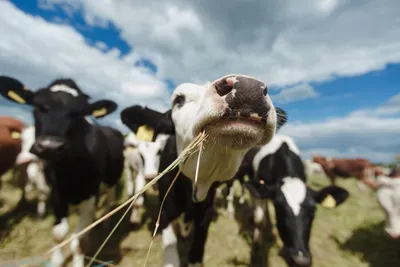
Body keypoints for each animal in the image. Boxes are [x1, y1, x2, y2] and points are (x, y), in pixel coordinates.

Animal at [0, 75, 125, 267]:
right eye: (37, 106)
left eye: (79, 113)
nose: (49, 146)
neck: (70, 171)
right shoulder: (57, 193)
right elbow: (59, 234)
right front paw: (56, 261)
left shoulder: (90, 195)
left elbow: (79, 240)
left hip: (113, 180)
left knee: (109, 202)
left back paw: (104, 223)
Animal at [121, 74, 288, 267]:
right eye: (179, 99)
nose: (249, 88)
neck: (197, 185)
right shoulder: (164, 211)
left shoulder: (206, 212)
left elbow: (197, 248)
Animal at [234, 136, 350, 267]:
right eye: (280, 210)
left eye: (313, 212)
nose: (300, 260)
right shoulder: (262, 188)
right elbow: (259, 219)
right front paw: (256, 245)